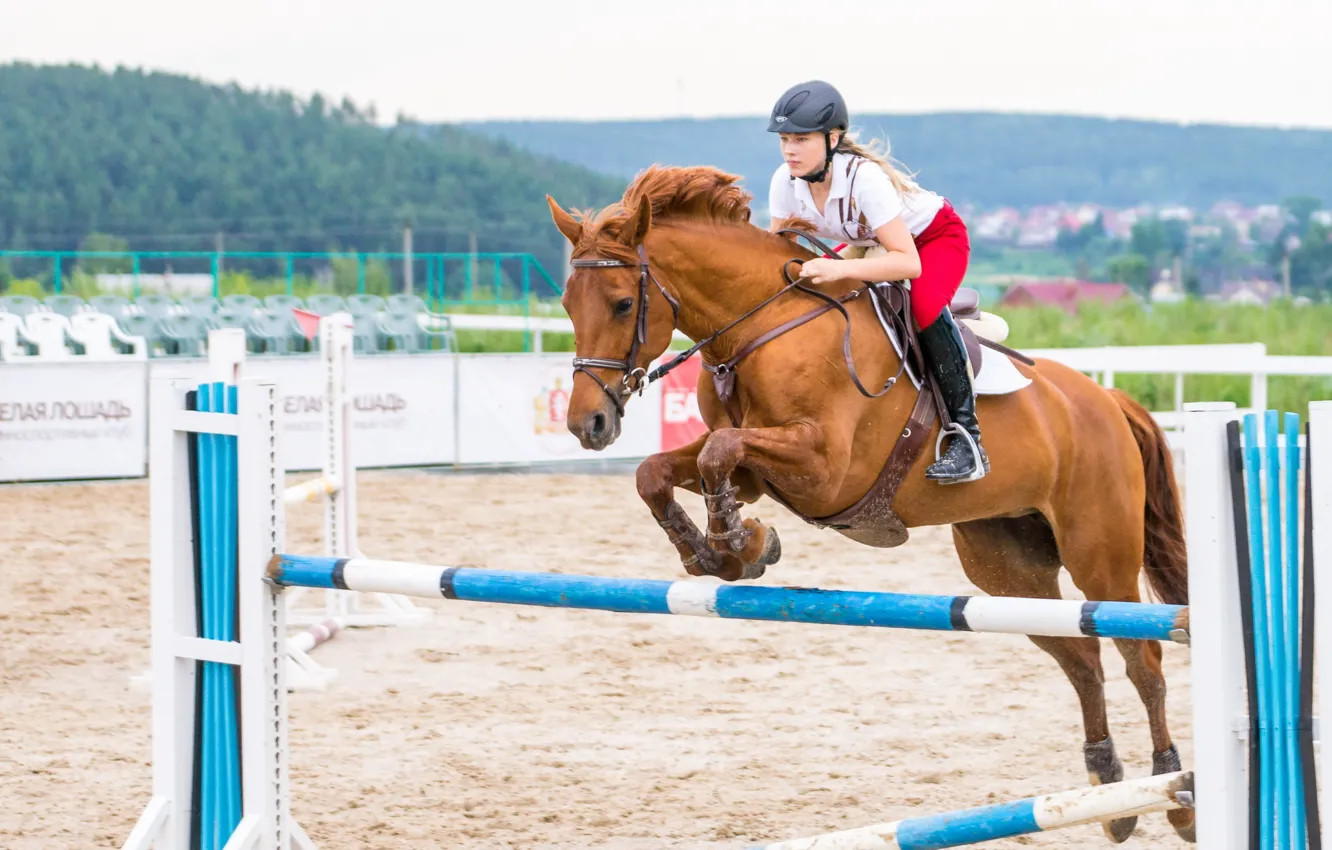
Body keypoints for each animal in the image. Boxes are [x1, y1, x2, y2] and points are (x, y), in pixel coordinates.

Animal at [546, 165, 1194, 844]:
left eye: (623, 303)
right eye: (567, 305)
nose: (588, 424)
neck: (761, 328)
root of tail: (1108, 401)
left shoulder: (825, 469)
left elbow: (718, 453)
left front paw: (738, 546)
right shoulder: (755, 474)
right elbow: (662, 471)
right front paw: (727, 553)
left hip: (1100, 553)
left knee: (1141, 657)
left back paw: (1174, 794)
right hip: (1007, 567)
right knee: (1082, 656)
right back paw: (1112, 794)